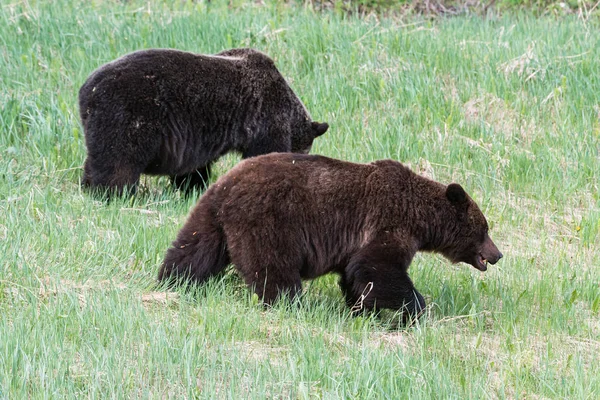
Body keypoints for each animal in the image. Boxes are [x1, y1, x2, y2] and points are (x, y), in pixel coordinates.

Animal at [78, 47, 330, 196]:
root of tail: (87, 89)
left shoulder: (195, 140)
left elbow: (193, 169)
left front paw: (192, 188)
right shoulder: (266, 118)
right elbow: (265, 151)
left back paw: (89, 187)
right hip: (131, 113)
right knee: (120, 159)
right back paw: (114, 193)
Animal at [158, 152, 502, 320]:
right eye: (484, 229)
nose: (497, 254)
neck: (420, 218)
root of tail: (225, 187)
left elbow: (356, 275)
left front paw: (362, 310)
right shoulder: (388, 221)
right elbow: (377, 267)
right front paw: (413, 309)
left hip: (211, 220)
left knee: (191, 251)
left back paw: (170, 282)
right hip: (269, 221)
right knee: (275, 270)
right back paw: (290, 304)